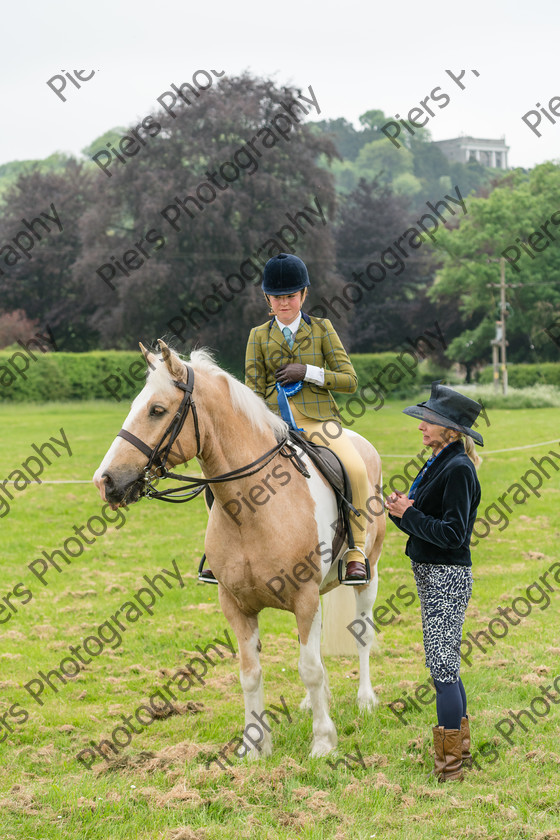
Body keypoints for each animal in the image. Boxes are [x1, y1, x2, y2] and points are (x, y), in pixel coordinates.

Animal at [95, 338, 384, 756]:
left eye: (157, 410)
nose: (106, 481)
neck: (253, 506)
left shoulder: (304, 598)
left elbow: (310, 668)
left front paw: (323, 743)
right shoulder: (235, 605)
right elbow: (251, 673)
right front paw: (254, 745)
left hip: (368, 576)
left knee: (361, 633)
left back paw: (365, 700)